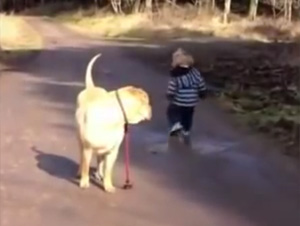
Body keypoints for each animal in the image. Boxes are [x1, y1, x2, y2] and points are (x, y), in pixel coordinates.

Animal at [75, 53, 150, 192]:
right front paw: (84, 181)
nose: (151, 108)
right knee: (82, 157)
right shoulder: (88, 148)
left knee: (100, 161)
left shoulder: (112, 151)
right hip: (81, 141)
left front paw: (108, 185)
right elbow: (86, 167)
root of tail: (91, 87)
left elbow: (108, 170)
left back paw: (99, 174)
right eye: (147, 102)